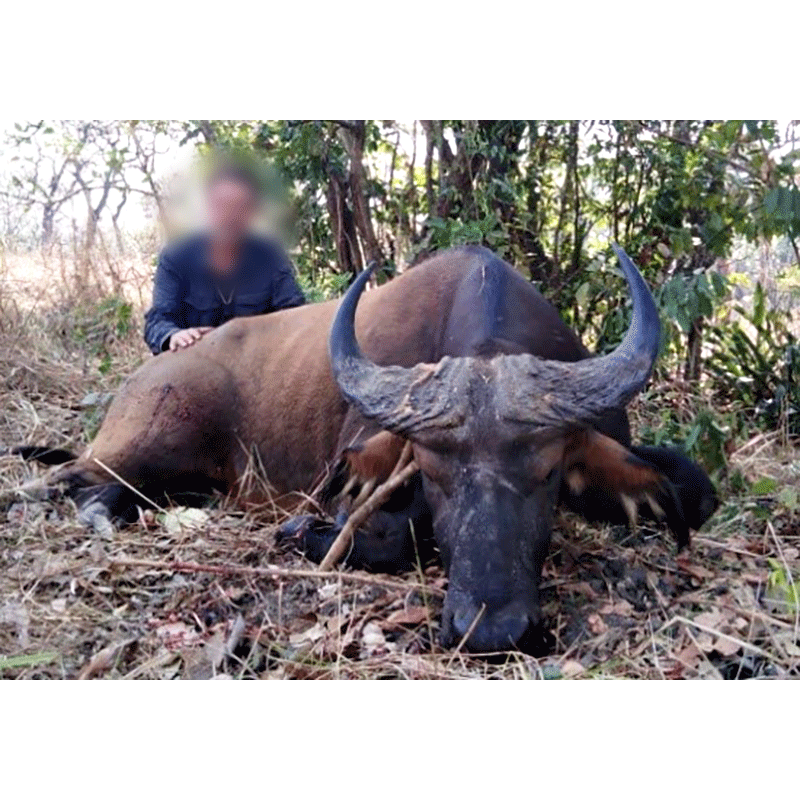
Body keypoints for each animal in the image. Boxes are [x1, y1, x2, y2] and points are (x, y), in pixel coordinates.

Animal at [7, 245, 720, 656]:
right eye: (429, 473)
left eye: (547, 473)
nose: (491, 632)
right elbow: (390, 535)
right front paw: (305, 534)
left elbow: (697, 489)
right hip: (149, 444)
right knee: (72, 480)